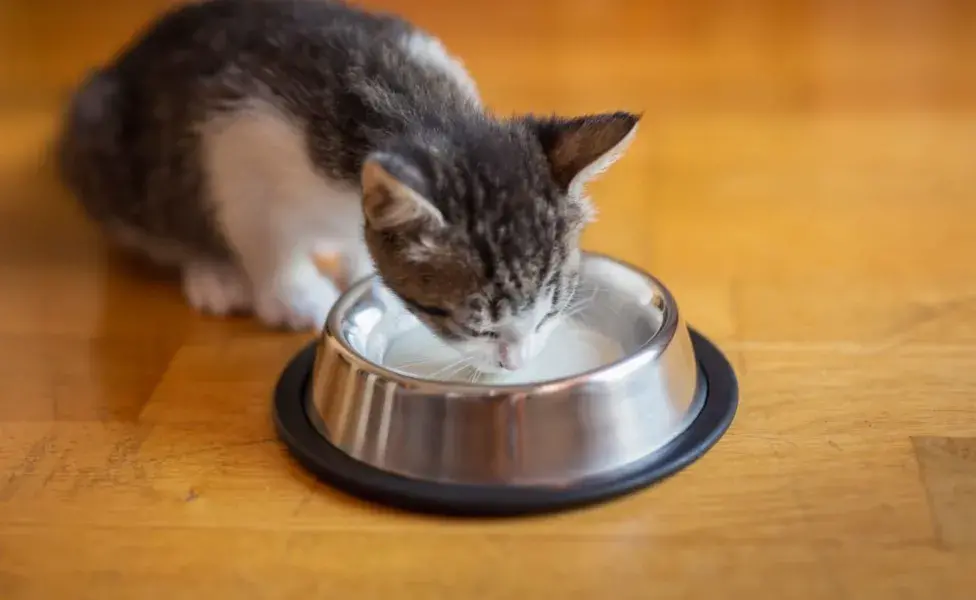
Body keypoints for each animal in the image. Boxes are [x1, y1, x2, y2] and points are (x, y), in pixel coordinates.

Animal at [55, 0, 640, 372]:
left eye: (550, 312)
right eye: (480, 329)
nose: (515, 364)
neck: (423, 106)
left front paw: (359, 272)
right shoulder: (238, 136)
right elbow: (256, 223)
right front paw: (293, 295)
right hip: (102, 133)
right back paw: (214, 270)